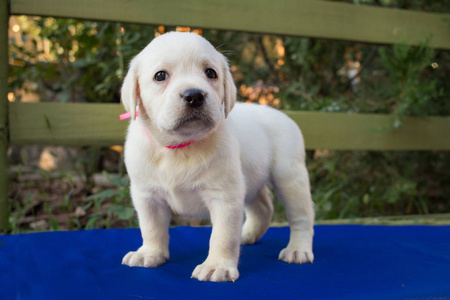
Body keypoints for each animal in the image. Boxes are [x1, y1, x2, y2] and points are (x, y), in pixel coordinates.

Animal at [121, 31, 314, 282]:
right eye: (160, 76)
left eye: (210, 73)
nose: (194, 96)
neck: (181, 146)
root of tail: (283, 115)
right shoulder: (147, 196)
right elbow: (151, 227)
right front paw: (150, 254)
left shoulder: (225, 196)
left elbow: (222, 236)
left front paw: (217, 266)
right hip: (251, 179)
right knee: (263, 208)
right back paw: (246, 235)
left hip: (289, 177)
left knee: (302, 215)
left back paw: (298, 249)